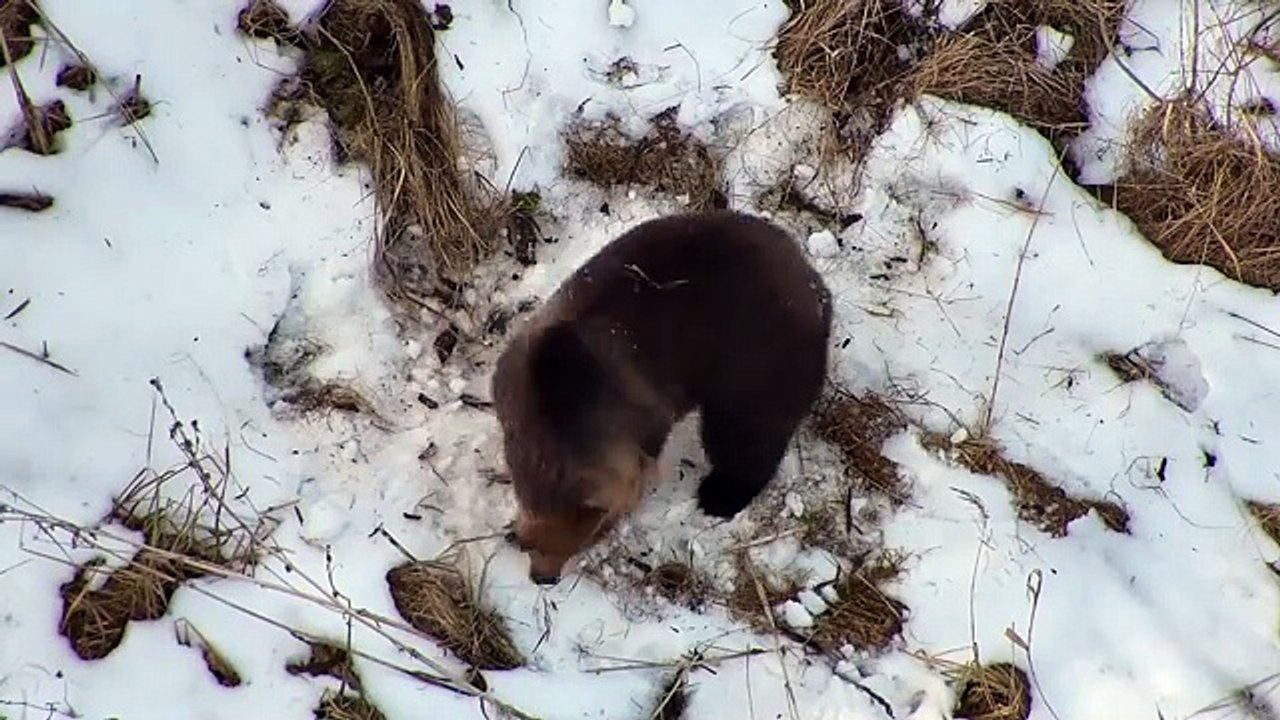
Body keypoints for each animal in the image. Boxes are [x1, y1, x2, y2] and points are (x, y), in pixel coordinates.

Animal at [491, 209, 833, 585]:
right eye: (532, 547)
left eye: (576, 545)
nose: (543, 578)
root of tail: (812, 279)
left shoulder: (637, 419)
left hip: (758, 357)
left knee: (745, 433)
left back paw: (719, 494)